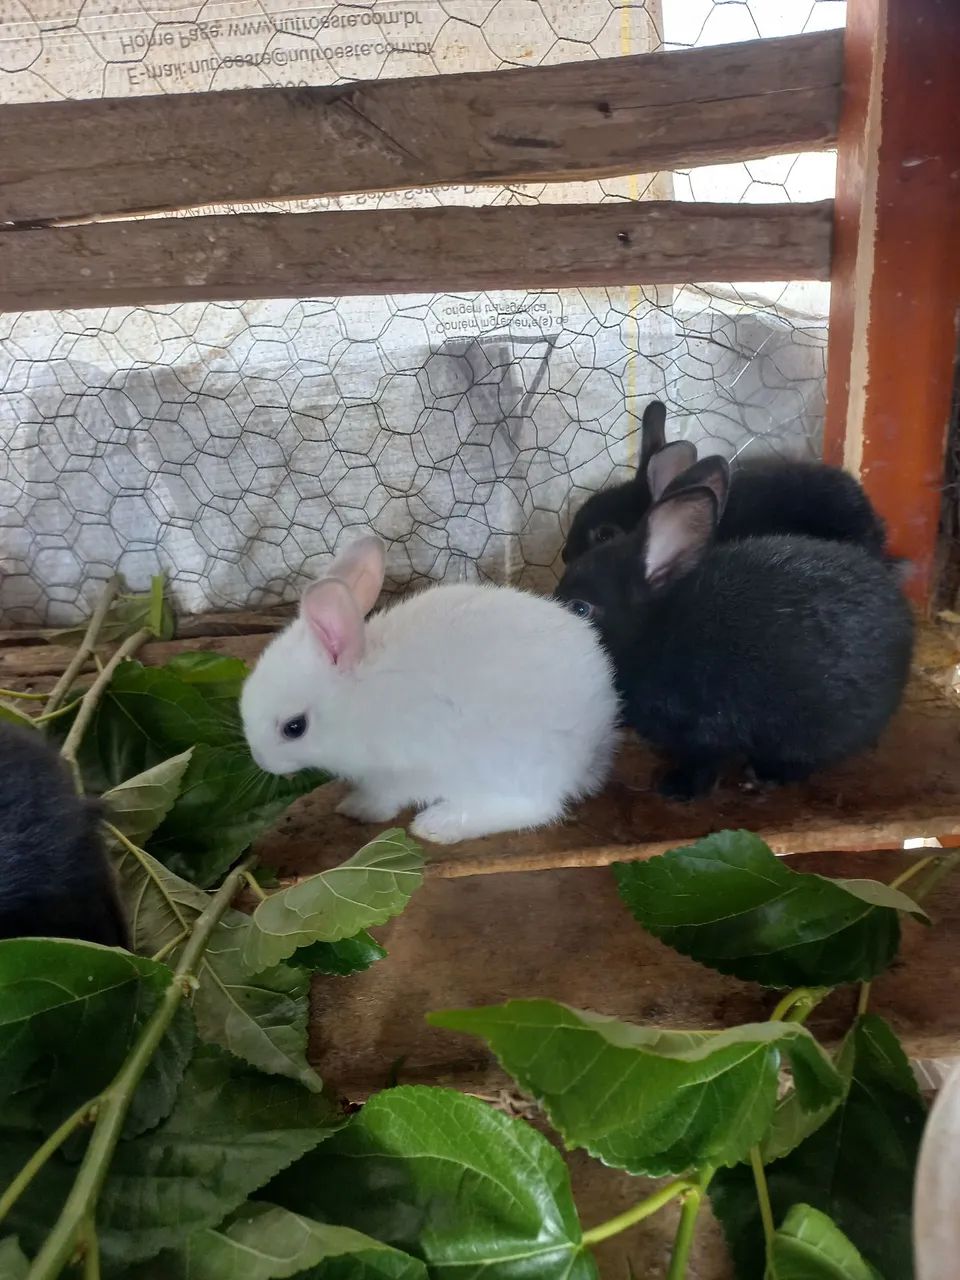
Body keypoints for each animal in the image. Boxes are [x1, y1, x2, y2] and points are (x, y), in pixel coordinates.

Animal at [240, 535, 620, 845]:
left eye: (294, 728)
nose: (261, 761)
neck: (359, 699)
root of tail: (594, 740)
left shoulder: (399, 770)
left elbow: (384, 796)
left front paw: (358, 809)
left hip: (503, 763)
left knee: (535, 807)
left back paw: (438, 824)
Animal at [554, 455, 914, 801]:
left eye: (580, 608)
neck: (651, 633)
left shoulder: (704, 729)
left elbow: (703, 762)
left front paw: (677, 789)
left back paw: (764, 776)